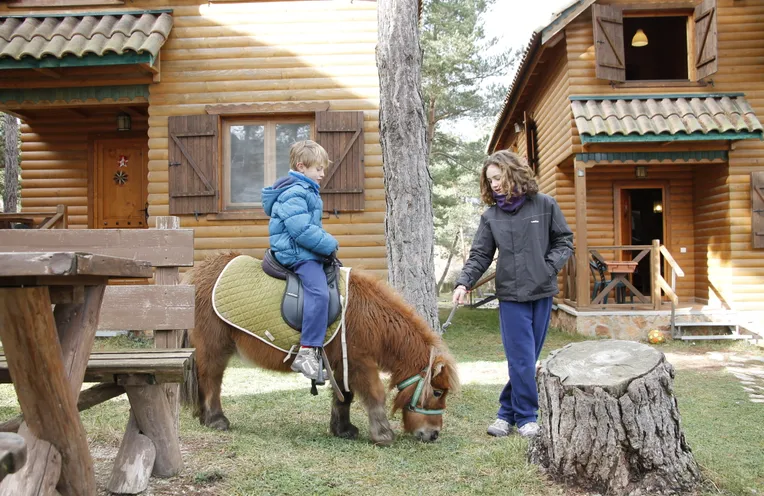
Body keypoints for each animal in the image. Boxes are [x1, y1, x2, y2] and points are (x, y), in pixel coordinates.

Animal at [187, 252, 456, 446]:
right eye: (437, 392)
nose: (433, 434)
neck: (369, 315)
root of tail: (196, 274)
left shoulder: (344, 363)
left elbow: (345, 396)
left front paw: (342, 429)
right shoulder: (359, 362)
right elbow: (374, 394)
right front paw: (383, 434)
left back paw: (203, 417)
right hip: (214, 347)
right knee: (211, 379)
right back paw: (216, 420)